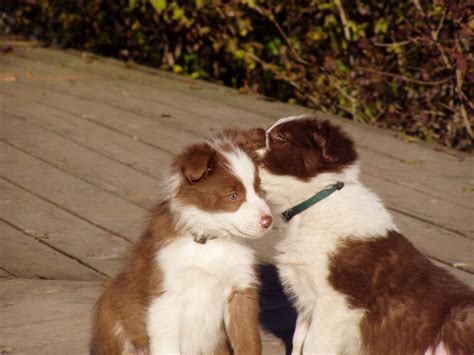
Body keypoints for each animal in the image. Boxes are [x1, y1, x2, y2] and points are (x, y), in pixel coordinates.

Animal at [91, 131, 274, 355]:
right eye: (232, 196)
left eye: (259, 188)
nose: (268, 221)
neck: (209, 241)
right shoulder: (166, 296)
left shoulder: (240, 291)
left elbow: (249, 340)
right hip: (110, 312)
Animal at [258, 115, 472, 354]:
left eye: (280, 138)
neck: (316, 201)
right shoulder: (307, 299)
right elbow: (299, 342)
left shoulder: (336, 304)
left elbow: (313, 345)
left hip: (460, 318)